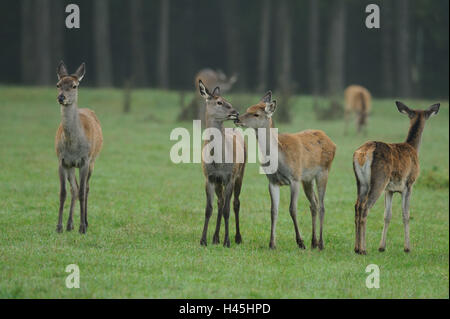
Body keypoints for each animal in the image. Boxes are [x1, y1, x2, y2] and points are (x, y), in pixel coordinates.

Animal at [54, 61, 103, 234]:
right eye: (58, 84)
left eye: (74, 86)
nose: (61, 97)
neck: (73, 146)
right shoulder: (62, 161)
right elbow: (63, 193)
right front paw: (59, 227)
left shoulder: (84, 160)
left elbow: (82, 192)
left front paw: (82, 228)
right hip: (71, 166)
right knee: (74, 188)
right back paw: (70, 224)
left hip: (93, 161)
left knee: (86, 188)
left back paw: (86, 222)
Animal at [198, 79, 246, 248]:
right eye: (219, 102)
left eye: (227, 99)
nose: (236, 112)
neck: (218, 162)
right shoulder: (209, 178)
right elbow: (208, 209)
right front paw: (203, 240)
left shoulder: (229, 177)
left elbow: (227, 210)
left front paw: (227, 241)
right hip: (219, 182)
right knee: (221, 201)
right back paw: (215, 237)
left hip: (240, 173)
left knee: (235, 203)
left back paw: (237, 237)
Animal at [234, 91, 336, 251]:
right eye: (247, 108)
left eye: (256, 114)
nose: (237, 118)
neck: (279, 159)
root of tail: (332, 142)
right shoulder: (272, 181)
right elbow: (273, 211)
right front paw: (272, 244)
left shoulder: (294, 178)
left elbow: (292, 209)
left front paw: (300, 242)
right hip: (307, 179)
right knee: (314, 204)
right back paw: (314, 242)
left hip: (324, 171)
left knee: (322, 206)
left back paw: (320, 243)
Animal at [352, 100, 440, 255]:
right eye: (427, 115)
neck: (413, 148)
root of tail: (363, 154)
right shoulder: (409, 184)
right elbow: (406, 214)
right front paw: (407, 248)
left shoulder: (389, 189)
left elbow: (387, 215)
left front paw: (382, 247)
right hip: (379, 180)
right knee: (365, 207)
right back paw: (363, 249)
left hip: (361, 183)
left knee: (357, 206)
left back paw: (356, 248)